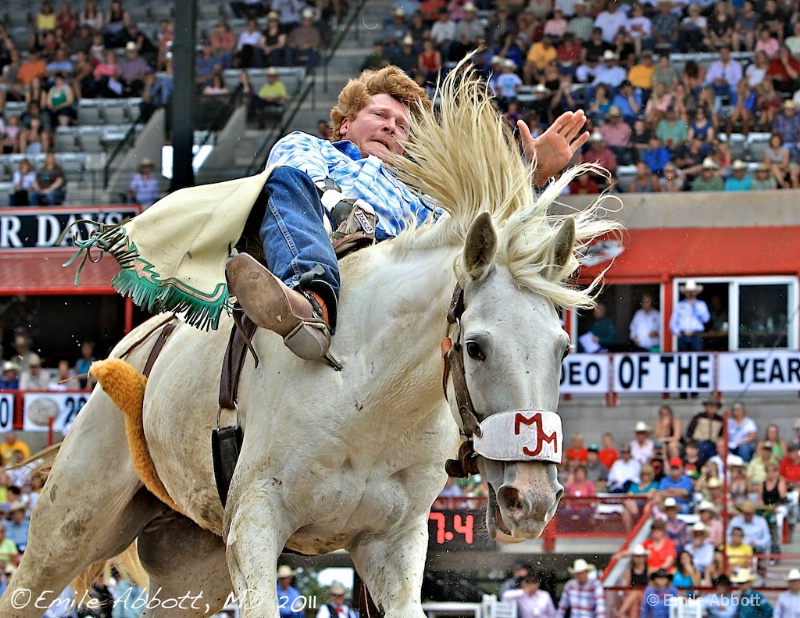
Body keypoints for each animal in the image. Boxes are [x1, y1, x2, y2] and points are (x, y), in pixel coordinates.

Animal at [0, 71, 620, 616]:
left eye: (564, 349)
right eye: (476, 347)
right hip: (70, 522)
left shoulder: (393, 545)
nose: (530, 500)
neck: (373, 398)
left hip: (190, 566)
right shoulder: (253, 523)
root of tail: (133, 348)